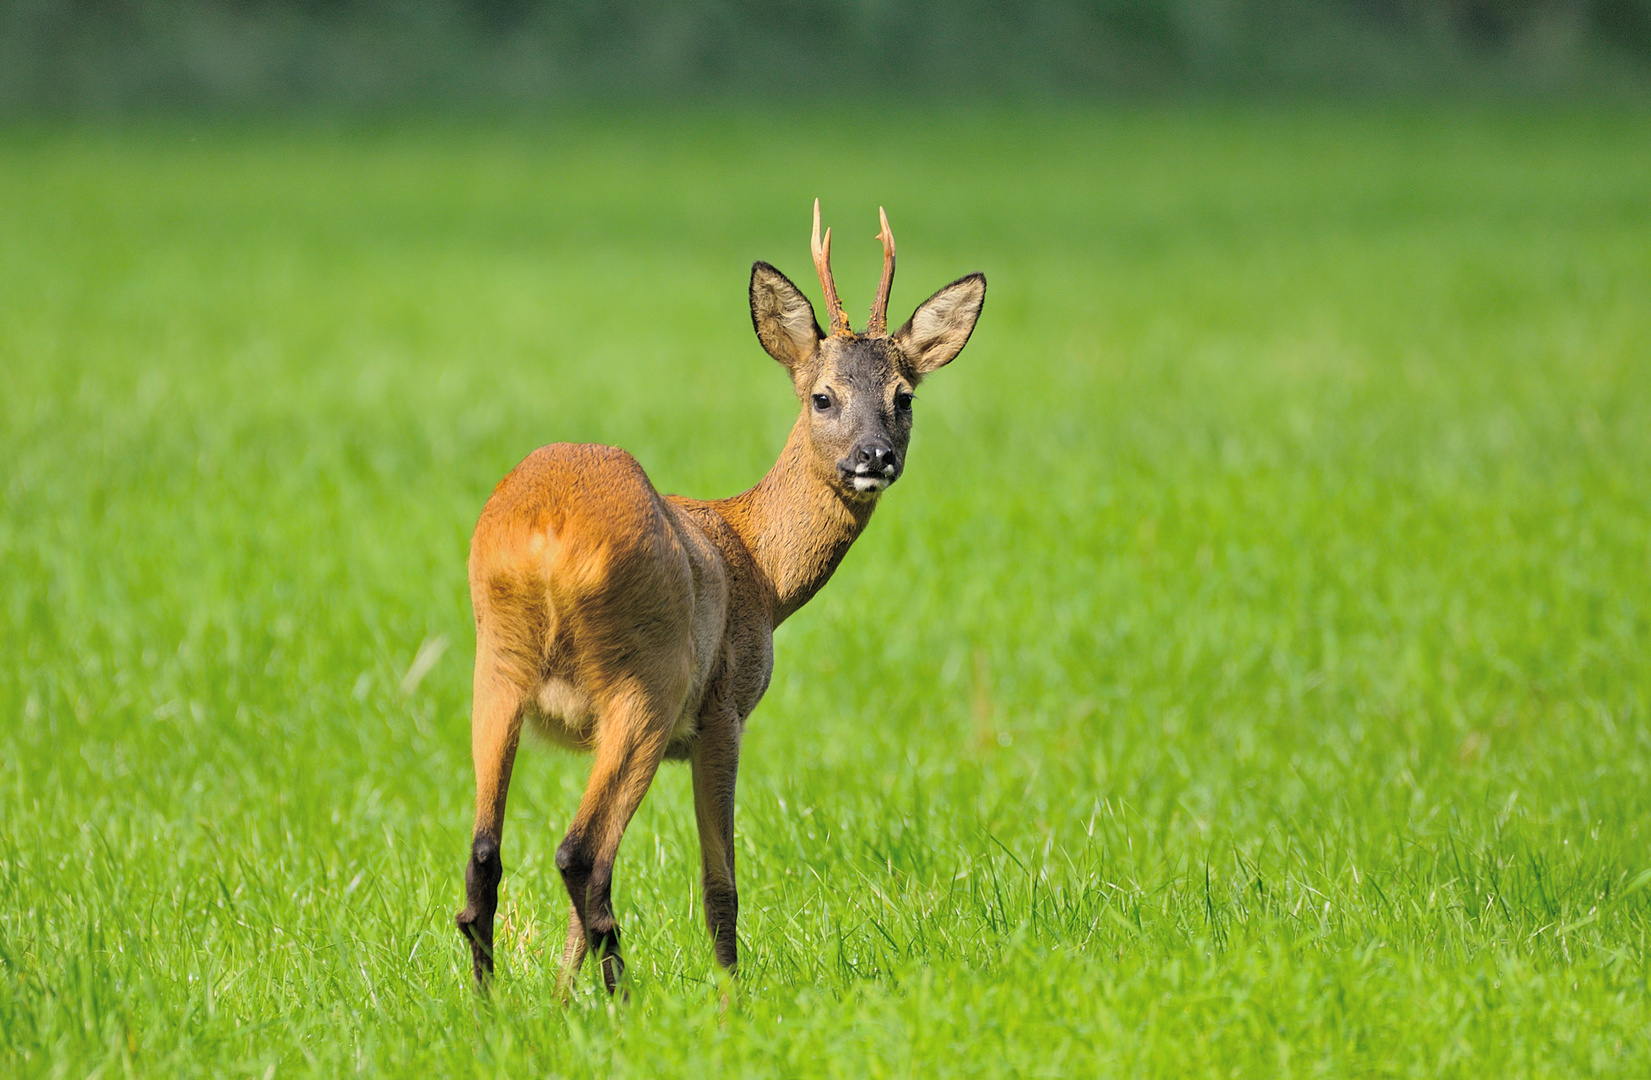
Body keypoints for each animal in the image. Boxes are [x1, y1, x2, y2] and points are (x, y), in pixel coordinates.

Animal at [455, 203, 977, 997]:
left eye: (904, 397)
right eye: (822, 396)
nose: (874, 457)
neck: (758, 563)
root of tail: (548, 539)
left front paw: (560, 998)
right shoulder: (725, 708)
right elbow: (720, 883)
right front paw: (732, 996)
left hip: (497, 667)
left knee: (487, 855)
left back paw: (491, 1004)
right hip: (648, 680)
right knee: (582, 853)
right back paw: (622, 995)